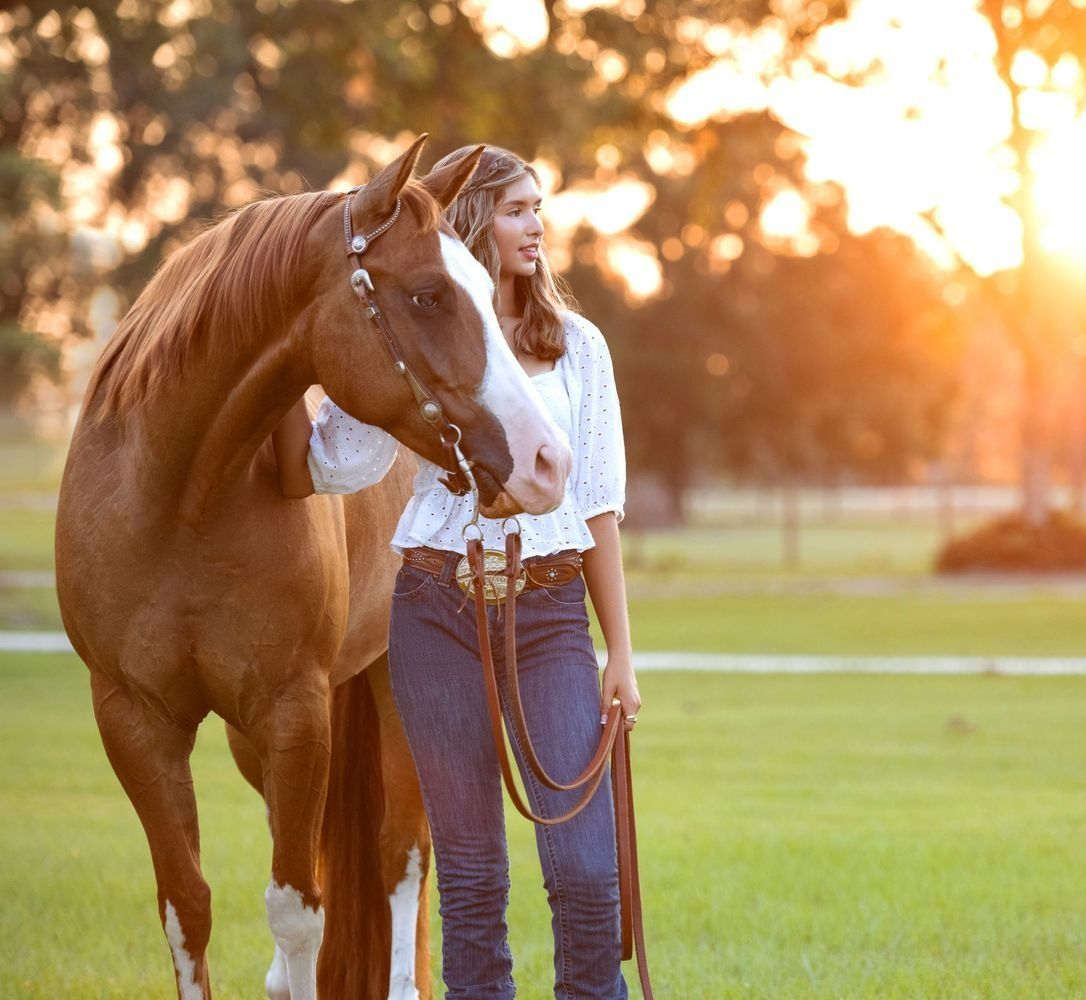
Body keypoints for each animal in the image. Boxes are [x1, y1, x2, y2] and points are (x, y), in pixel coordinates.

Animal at [54, 134, 573, 1000]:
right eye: (428, 295)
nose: (547, 459)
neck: (179, 495)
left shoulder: (294, 713)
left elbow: (298, 907)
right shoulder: (134, 720)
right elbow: (185, 906)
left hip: (392, 698)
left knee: (401, 854)